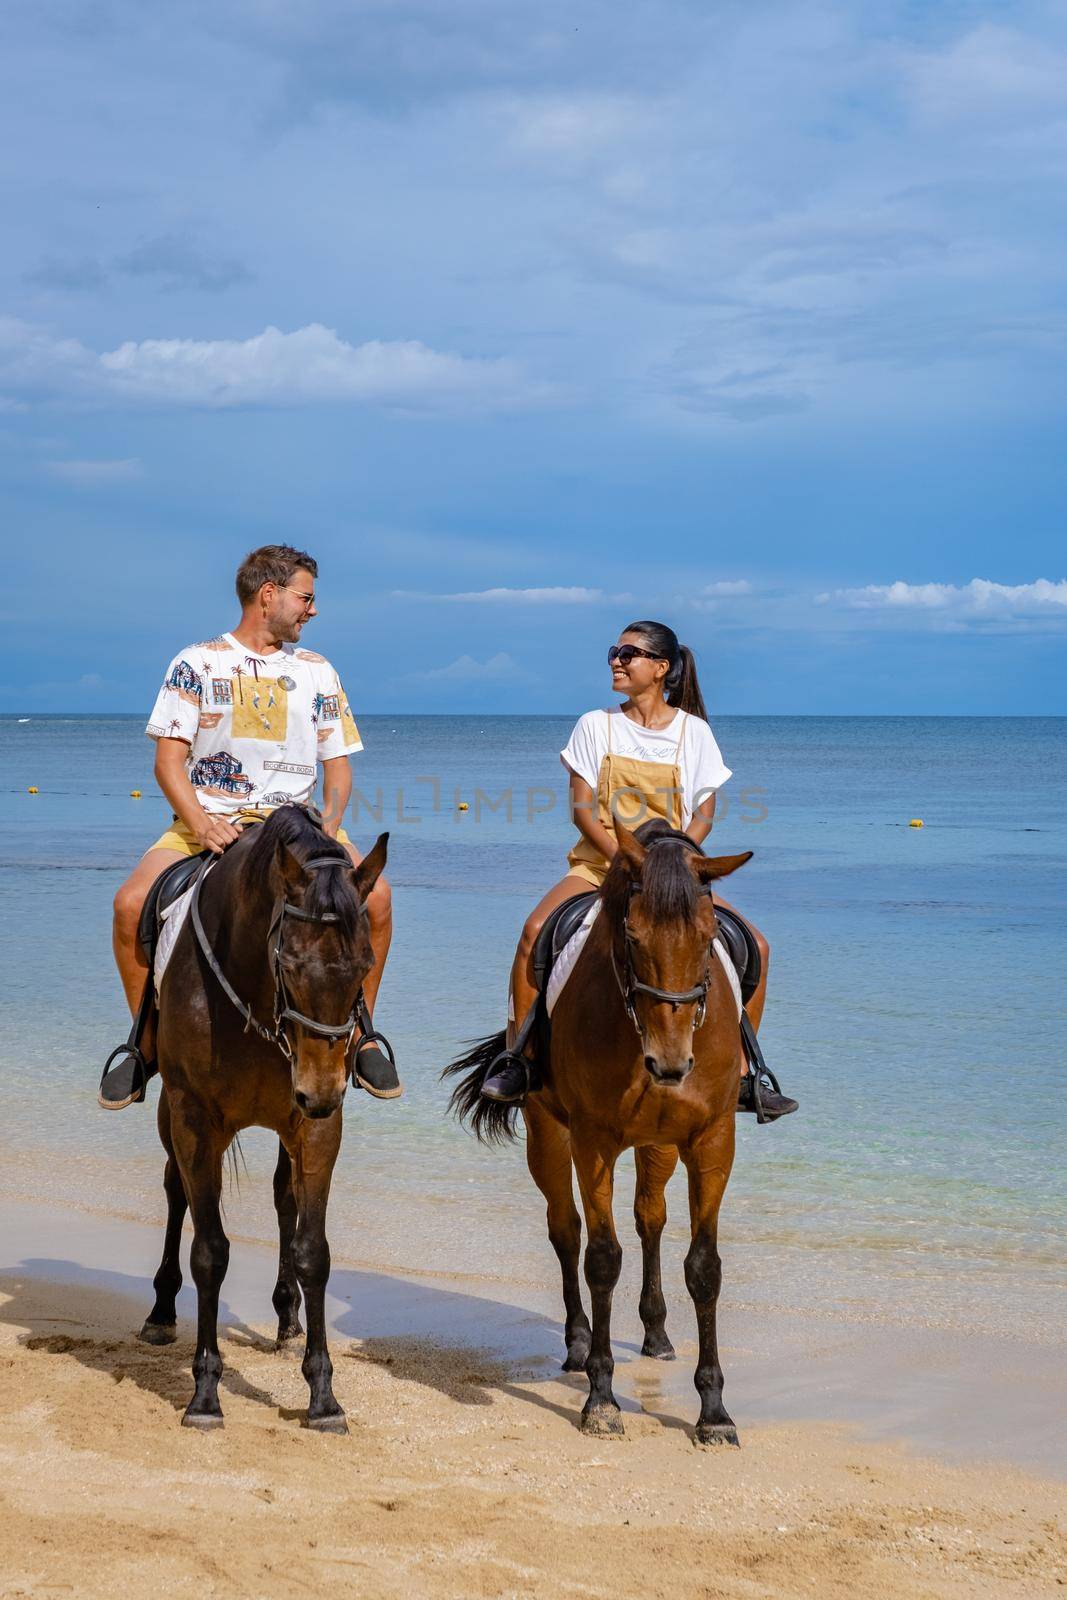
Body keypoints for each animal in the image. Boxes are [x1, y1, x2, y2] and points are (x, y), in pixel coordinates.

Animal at [137, 806, 388, 1433]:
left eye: (364, 966)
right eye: (289, 964)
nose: (320, 1091)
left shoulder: (317, 1128)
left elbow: (312, 1250)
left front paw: (322, 1395)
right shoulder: (195, 1122)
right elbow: (210, 1251)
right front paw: (205, 1393)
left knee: (284, 1198)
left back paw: (287, 1316)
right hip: (173, 1117)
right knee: (176, 1192)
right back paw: (160, 1309)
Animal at [447, 825, 755, 1452]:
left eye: (707, 937)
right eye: (632, 936)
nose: (670, 1063)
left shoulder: (711, 1140)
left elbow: (703, 1267)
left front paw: (713, 1412)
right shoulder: (593, 1142)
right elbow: (602, 1259)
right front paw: (602, 1399)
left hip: (659, 1145)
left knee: (650, 1217)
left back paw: (656, 1334)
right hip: (547, 1134)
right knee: (566, 1231)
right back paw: (577, 1342)